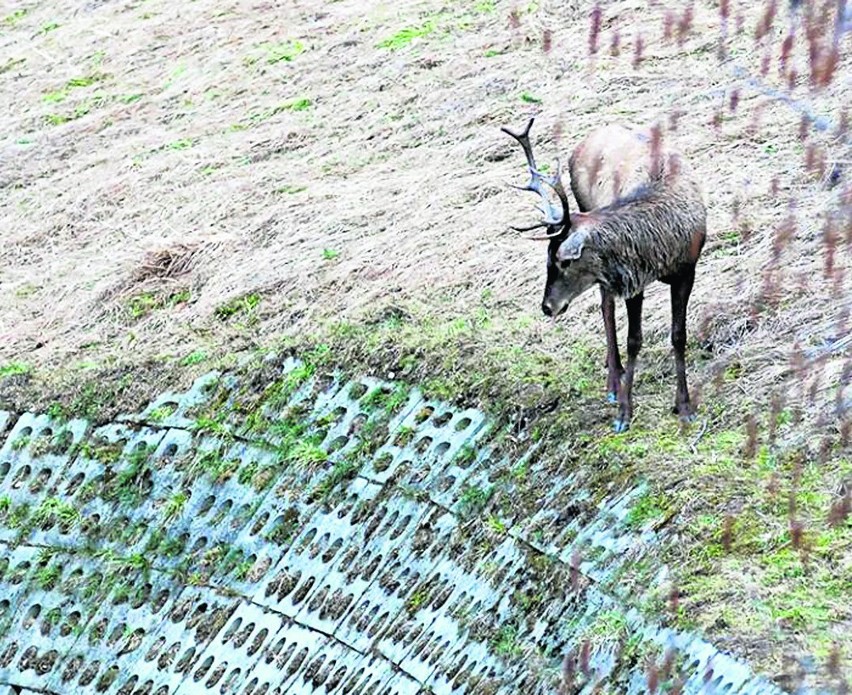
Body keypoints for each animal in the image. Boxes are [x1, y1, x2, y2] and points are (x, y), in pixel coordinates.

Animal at [500, 120, 704, 436]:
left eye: (562, 261)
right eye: (547, 259)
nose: (547, 306)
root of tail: (587, 138)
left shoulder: (687, 270)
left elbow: (678, 335)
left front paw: (683, 406)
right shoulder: (634, 280)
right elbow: (634, 340)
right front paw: (624, 413)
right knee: (606, 308)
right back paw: (613, 380)